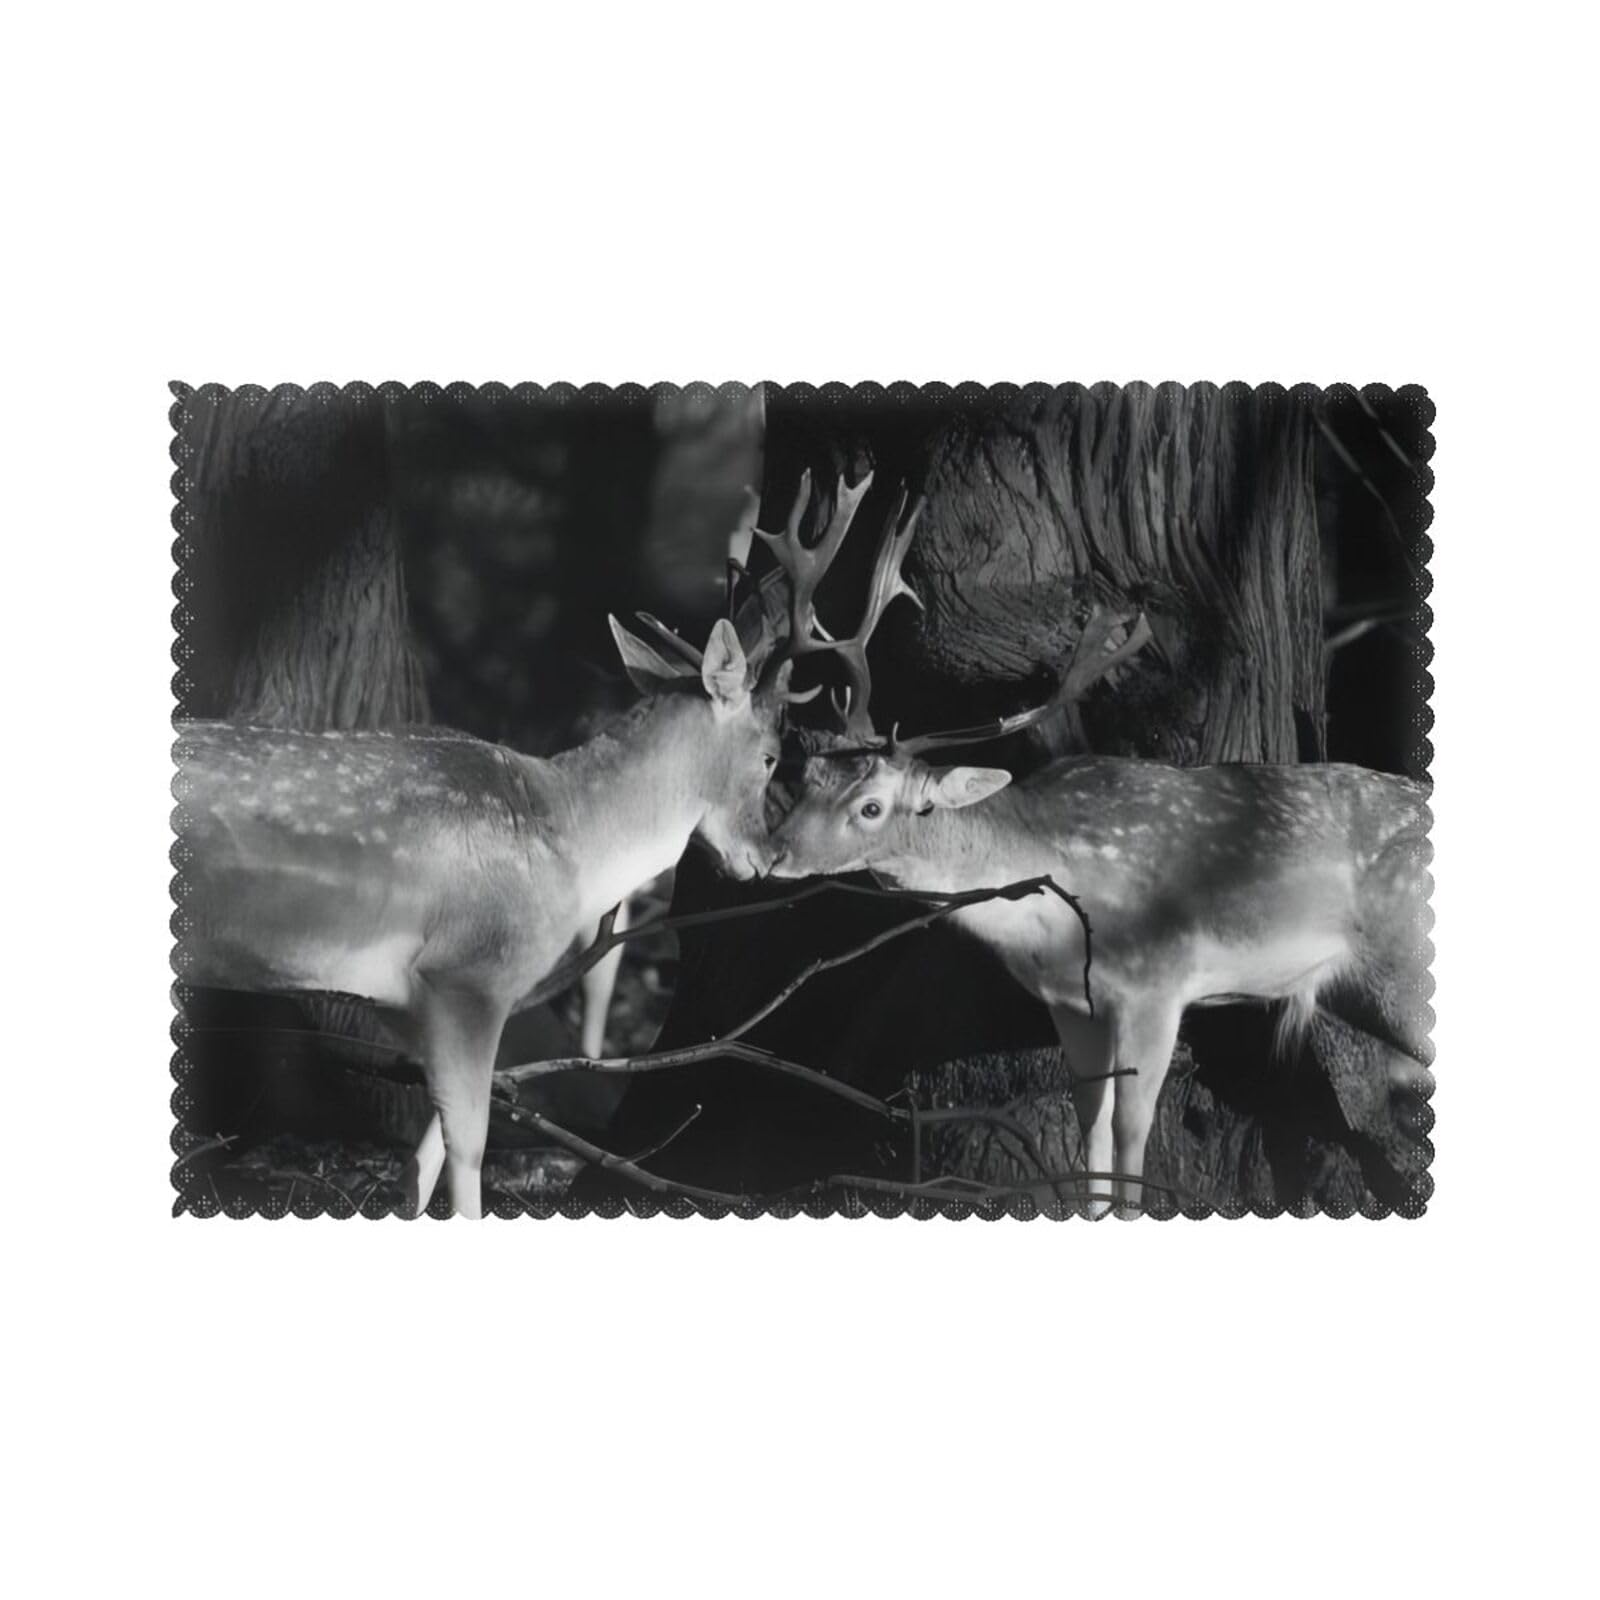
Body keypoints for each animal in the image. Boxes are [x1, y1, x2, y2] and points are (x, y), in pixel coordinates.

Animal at [176, 595, 805, 1219]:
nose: (767, 857)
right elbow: (468, 1145)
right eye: (771, 756)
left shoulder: (408, 999)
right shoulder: (471, 971)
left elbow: (422, 1162)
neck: (574, 840)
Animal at [755, 476, 1434, 1215]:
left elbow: (1132, 1129)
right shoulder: (1071, 1005)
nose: (771, 854)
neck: (1054, 913)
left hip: (1406, 962)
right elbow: (1093, 1128)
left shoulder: (1159, 981)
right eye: (808, 779)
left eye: (872, 807)